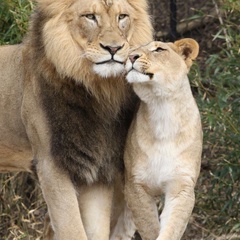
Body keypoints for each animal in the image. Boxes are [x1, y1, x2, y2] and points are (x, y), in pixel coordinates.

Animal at [0, 0, 153, 239]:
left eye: (122, 17)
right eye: (90, 16)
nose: (114, 49)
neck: (98, 90)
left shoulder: (98, 168)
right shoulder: (51, 166)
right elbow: (72, 229)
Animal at [110, 38, 202, 239]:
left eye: (159, 49)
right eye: (133, 50)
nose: (131, 57)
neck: (163, 108)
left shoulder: (181, 186)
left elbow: (171, 228)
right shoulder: (136, 185)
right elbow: (151, 228)